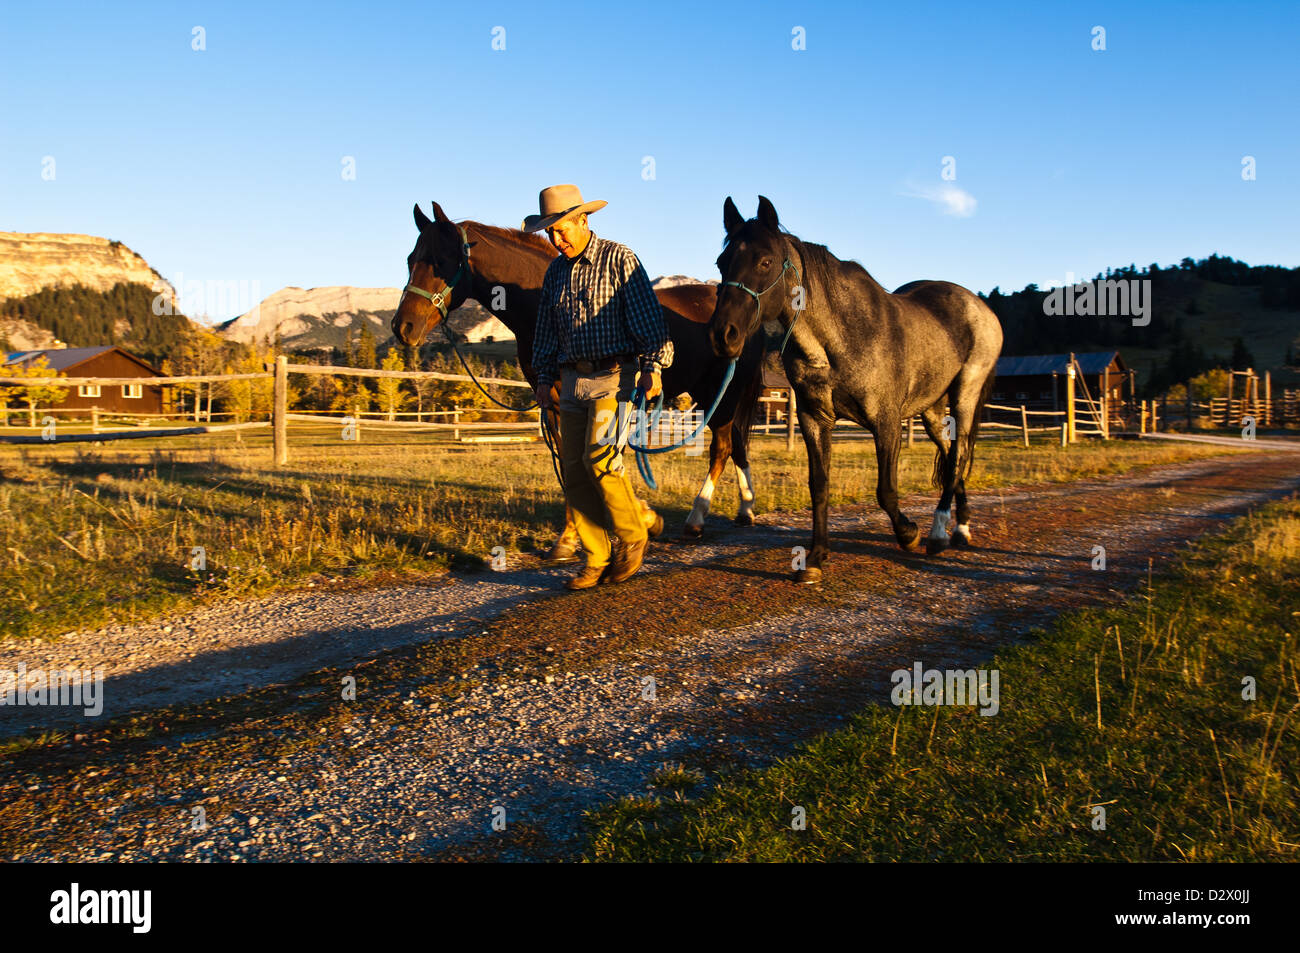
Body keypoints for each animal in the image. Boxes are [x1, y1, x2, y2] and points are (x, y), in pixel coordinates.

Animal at [391, 201, 768, 558]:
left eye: (441, 260)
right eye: (410, 259)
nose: (403, 326)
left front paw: (639, 518)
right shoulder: (556, 403)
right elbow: (568, 463)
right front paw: (570, 538)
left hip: (723, 392)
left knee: (722, 447)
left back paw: (697, 519)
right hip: (714, 394)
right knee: (737, 443)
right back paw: (745, 510)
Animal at [708, 196, 1003, 584]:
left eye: (765, 261)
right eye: (721, 262)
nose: (722, 335)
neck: (839, 338)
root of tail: (980, 307)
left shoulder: (886, 422)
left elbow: (886, 491)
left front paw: (909, 534)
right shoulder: (814, 419)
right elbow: (819, 486)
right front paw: (816, 558)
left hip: (965, 395)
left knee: (957, 458)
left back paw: (939, 533)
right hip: (933, 412)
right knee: (955, 455)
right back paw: (961, 530)